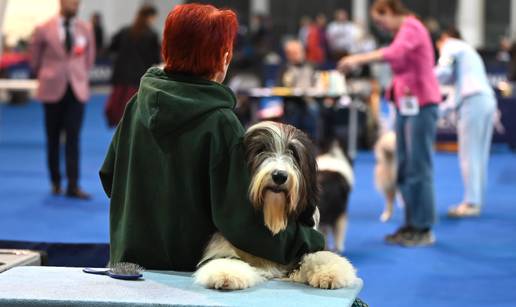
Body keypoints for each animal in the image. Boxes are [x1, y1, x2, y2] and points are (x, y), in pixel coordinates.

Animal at [191, 122, 356, 292]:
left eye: (293, 153)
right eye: (261, 150)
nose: (279, 176)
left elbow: (317, 255)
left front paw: (329, 271)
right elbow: (225, 259)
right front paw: (226, 274)